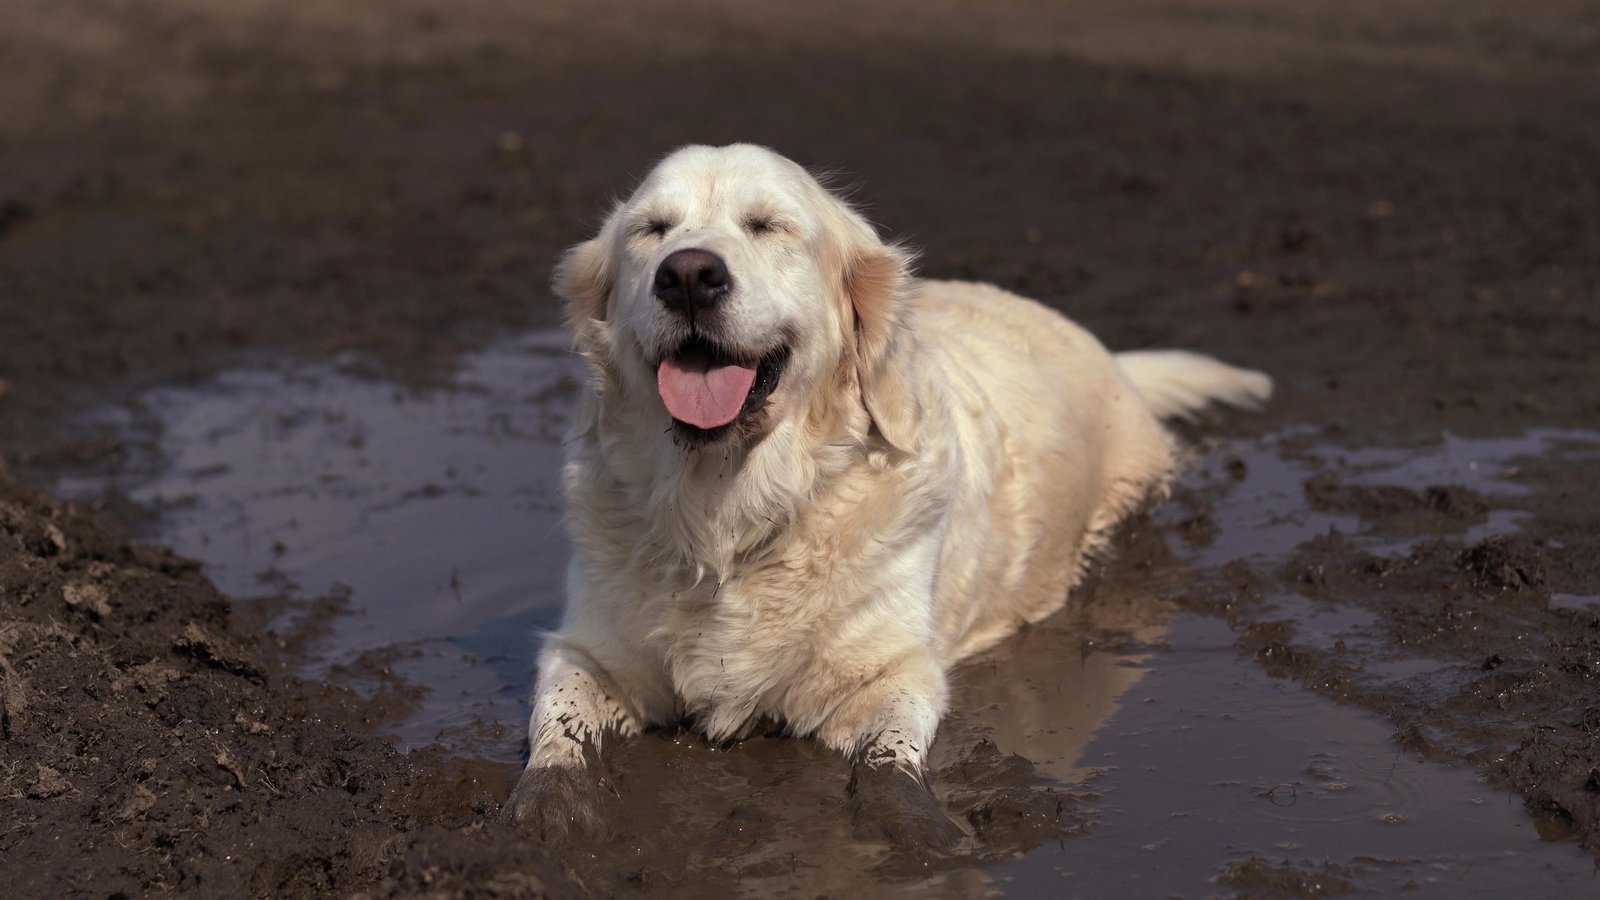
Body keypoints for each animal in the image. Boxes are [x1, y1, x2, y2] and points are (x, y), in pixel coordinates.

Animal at [505, 143, 1267, 845]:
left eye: (768, 225)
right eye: (653, 229)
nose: (688, 274)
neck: (728, 511)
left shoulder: (895, 668)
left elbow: (888, 755)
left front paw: (911, 826)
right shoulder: (589, 650)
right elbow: (558, 723)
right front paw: (546, 803)